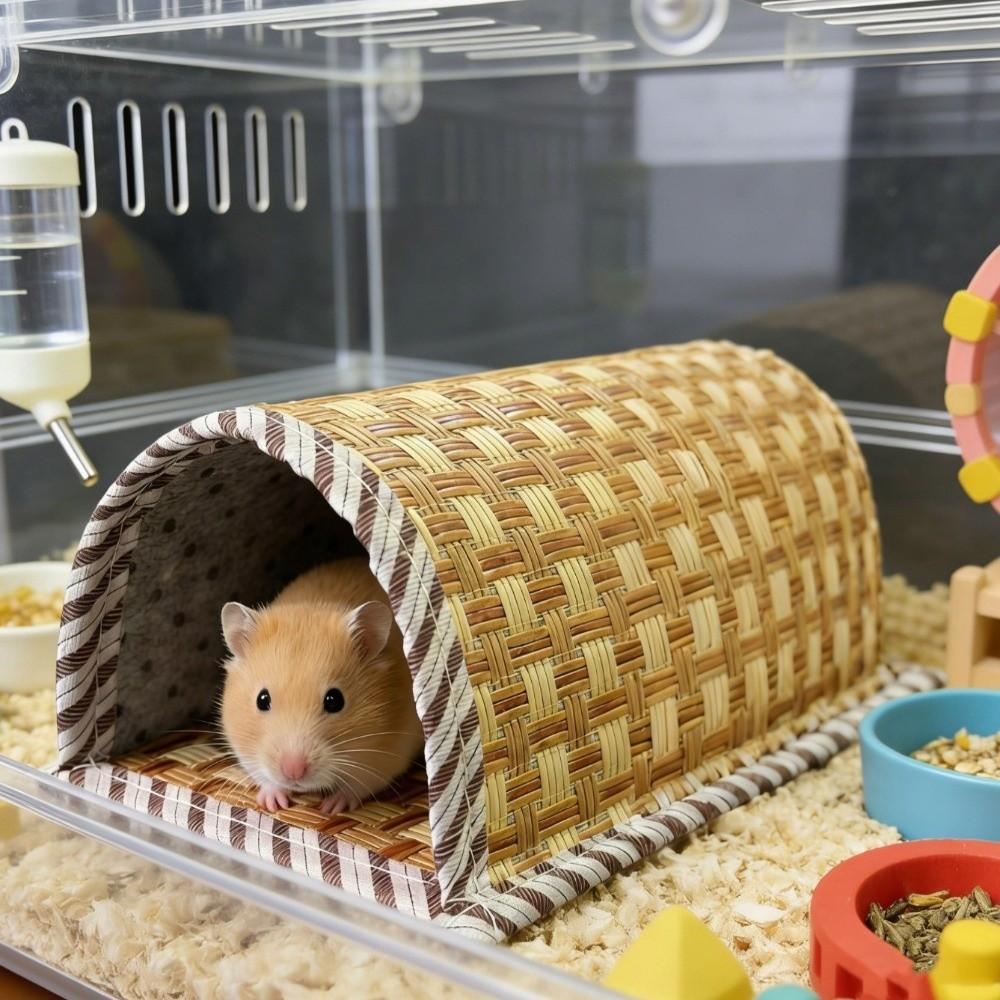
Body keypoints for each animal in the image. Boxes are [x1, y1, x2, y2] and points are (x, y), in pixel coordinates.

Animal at [219, 558, 423, 815]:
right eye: (262, 700)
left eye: (335, 700)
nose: (294, 772)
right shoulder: (245, 750)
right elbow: (264, 777)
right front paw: (275, 803)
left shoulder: (388, 755)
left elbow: (358, 785)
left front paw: (331, 807)